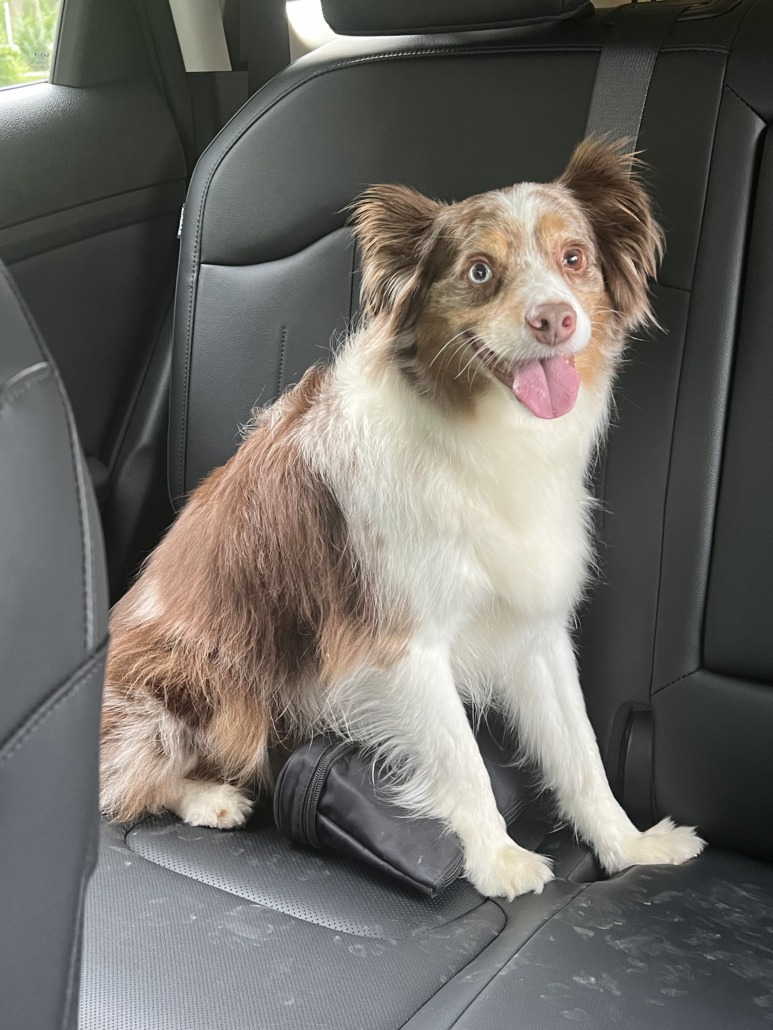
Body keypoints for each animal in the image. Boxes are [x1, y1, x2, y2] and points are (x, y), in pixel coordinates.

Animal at [100, 138, 705, 899]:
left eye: (574, 258)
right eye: (479, 271)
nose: (555, 319)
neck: (480, 432)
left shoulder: (533, 627)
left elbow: (580, 751)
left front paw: (630, 845)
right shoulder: (401, 642)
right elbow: (463, 761)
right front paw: (499, 861)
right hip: (199, 681)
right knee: (122, 775)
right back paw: (210, 797)